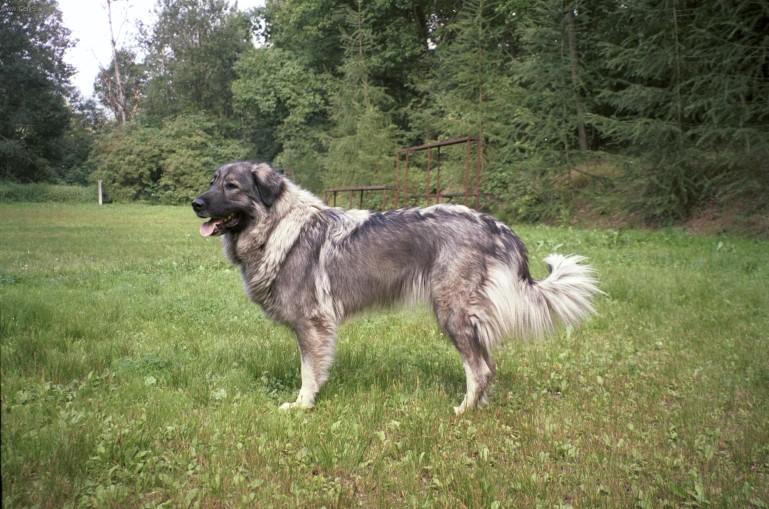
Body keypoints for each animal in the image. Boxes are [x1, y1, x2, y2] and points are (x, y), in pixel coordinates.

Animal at [192, 162, 600, 412]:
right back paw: (479, 405)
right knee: (488, 365)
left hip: (451, 312)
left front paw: (302, 406)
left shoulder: (312, 323)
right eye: (212, 181)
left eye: (232, 186)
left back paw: (465, 410)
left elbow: (308, 370)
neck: (277, 226)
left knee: (480, 369)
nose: (195, 203)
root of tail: (497, 227)